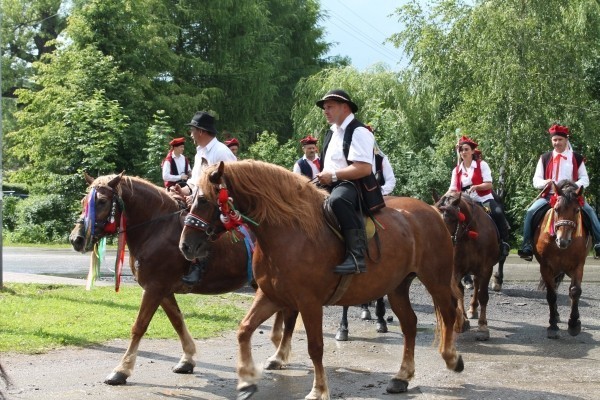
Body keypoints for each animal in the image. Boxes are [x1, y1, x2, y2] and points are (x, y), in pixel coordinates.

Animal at [68, 173, 292, 386]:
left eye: (102, 201)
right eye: (84, 201)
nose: (76, 239)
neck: (156, 228)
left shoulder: (154, 288)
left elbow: (139, 326)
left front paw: (121, 370)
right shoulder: (163, 291)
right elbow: (177, 320)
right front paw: (187, 359)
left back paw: (279, 356)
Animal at [179, 160, 464, 400]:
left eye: (203, 200)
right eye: (190, 198)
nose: (186, 246)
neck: (289, 231)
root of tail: (431, 211)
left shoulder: (309, 303)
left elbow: (315, 347)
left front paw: (318, 390)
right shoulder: (271, 296)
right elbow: (244, 329)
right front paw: (247, 381)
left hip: (435, 279)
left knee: (449, 312)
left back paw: (451, 357)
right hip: (397, 287)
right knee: (410, 324)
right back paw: (402, 376)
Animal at [432, 192, 506, 340]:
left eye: (452, 218)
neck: (468, 235)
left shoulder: (486, 269)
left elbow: (483, 296)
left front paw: (482, 327)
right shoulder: (456, 269)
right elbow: (458, 292)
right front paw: (461, 321)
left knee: (478, 285)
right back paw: (470, 310)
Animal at [528, 180, 592, 340]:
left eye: (577, 210)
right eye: (556, 209)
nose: (562, 241)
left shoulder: (578, 265)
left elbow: (575, 291)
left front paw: (574, 323)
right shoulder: (546, 267)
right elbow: (551, 295)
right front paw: (553, 326)